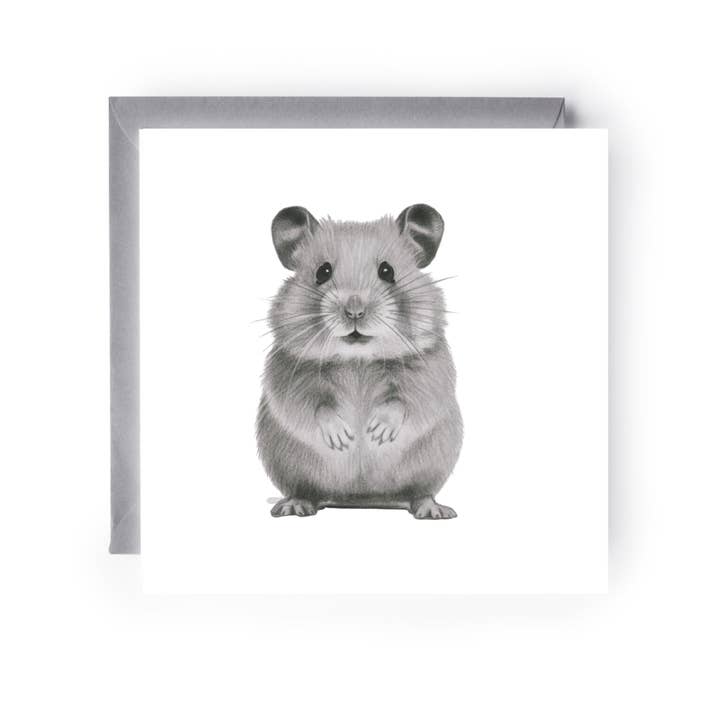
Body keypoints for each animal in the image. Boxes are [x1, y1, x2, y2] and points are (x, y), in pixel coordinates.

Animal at [256, 204, 463, 519]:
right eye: (322, 272)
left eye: (388, 271)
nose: (355, 311)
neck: (358, 360)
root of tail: (360, 498)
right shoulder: (288, 376)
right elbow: (313, 405)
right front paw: (344, 439)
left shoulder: (431, 373)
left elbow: (406, 400)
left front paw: (376, 433)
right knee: (304, 489)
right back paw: (295, 505)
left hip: (432, 464)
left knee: (420, 492)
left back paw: (433, 510)